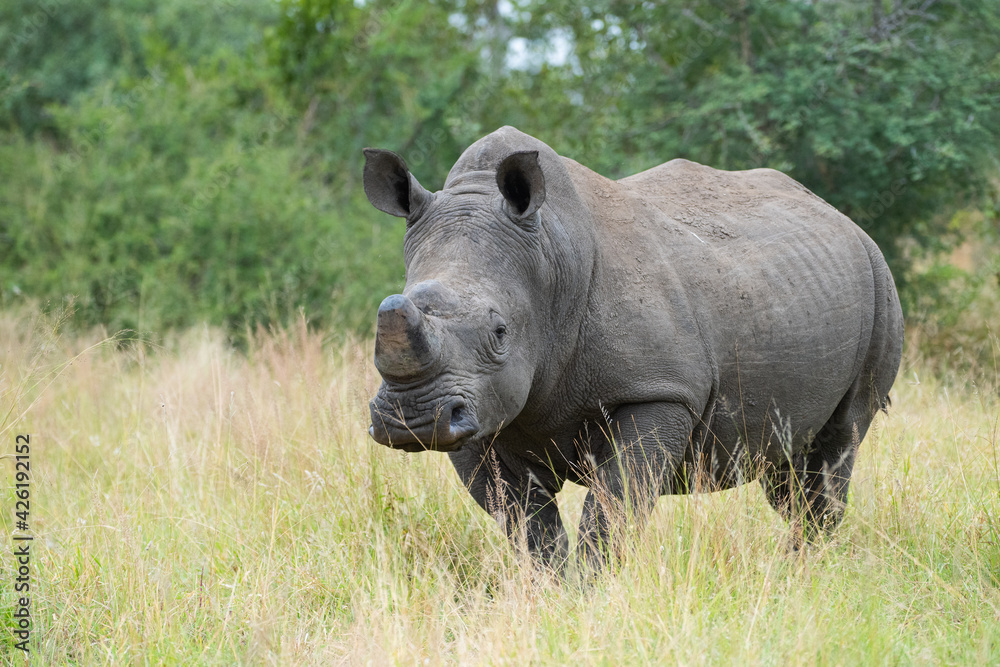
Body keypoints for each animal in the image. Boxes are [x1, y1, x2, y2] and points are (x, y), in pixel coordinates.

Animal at [363, 126, 904, 569]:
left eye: (500, 332)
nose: (414, 419)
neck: (549, 259)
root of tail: (841, 217)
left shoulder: (657, 391)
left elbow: (613, 508)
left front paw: (589, 596)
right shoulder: (481, 410)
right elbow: (525, 525)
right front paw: (553, 597)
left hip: (880, 282)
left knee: (837, 445)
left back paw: (803, 571)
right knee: (785, 471)